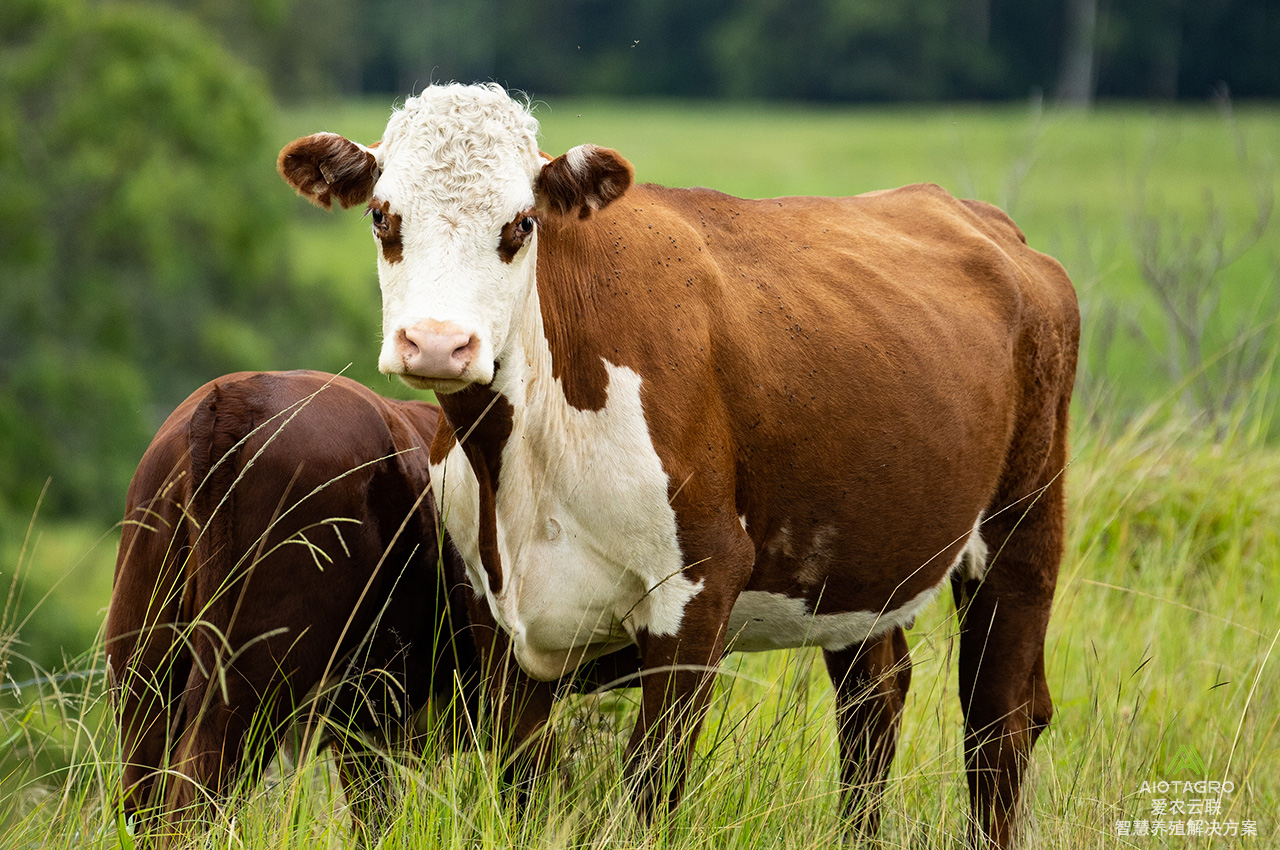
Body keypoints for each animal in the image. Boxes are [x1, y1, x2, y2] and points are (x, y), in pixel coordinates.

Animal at [280, 83, 1080, 844]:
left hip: (1023, 524)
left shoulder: (698, 581)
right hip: (863, 551)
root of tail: (983, 220)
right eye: (383, 217)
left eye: (521, 223)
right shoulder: (493, 607)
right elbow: (521, 778)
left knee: (998, 721)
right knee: (874, 703)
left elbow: (654, 776)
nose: (439, 344)